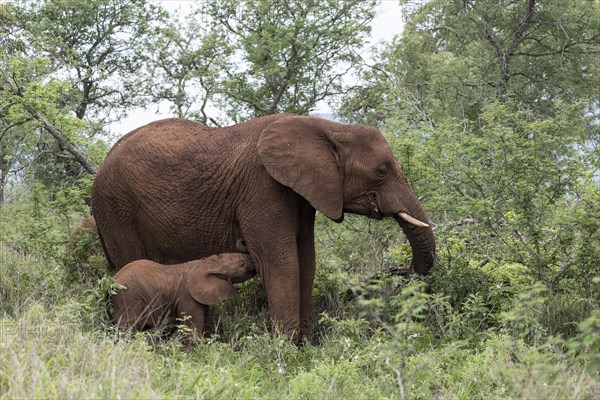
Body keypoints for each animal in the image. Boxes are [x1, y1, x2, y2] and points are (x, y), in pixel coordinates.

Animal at [111, 253, 254, 334]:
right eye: (241, 264)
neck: (208, 262)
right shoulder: (187, 296)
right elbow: (193, 326)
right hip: (128, 296)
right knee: (129, 327)